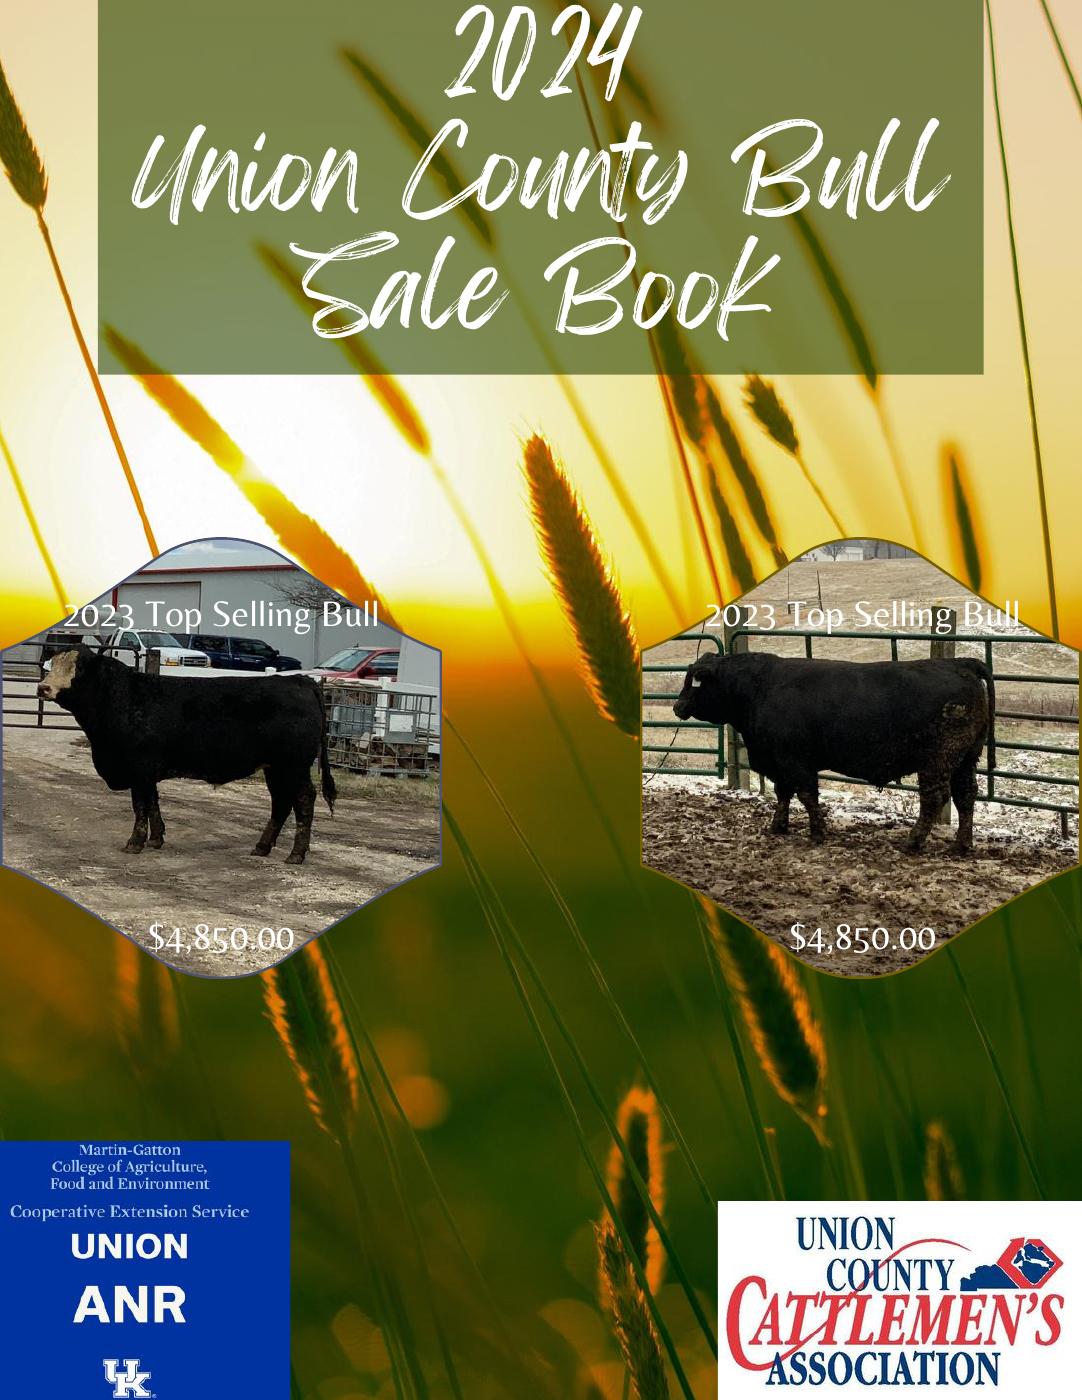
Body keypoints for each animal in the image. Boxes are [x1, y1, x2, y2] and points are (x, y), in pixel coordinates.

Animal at [37, 646, 336, 863]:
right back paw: (262, 847)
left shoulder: (140, 767)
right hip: (275, 767)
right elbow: (153, 803)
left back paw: (296, 854)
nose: (43, 688)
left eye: (78, 669)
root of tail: (299, 681)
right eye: (50, 666)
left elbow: (140, 804)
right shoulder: (147, 771)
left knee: (303, 800)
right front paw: (156, 839)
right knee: (281, 802)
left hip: (293, 765)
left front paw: (135, 843)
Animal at [672, 652, 995, 853]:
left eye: (695, 682)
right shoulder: (780, 762)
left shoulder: (794, 761)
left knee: (933, 798)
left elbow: (806, 795)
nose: (677, 707)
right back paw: (961, 845)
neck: (760, 687)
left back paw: (913, 842)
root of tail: (959, 663)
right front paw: (779, 826)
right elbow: (783, 793)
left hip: (937, 759)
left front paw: (818, 832)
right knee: (966, 795)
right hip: (967, 758)